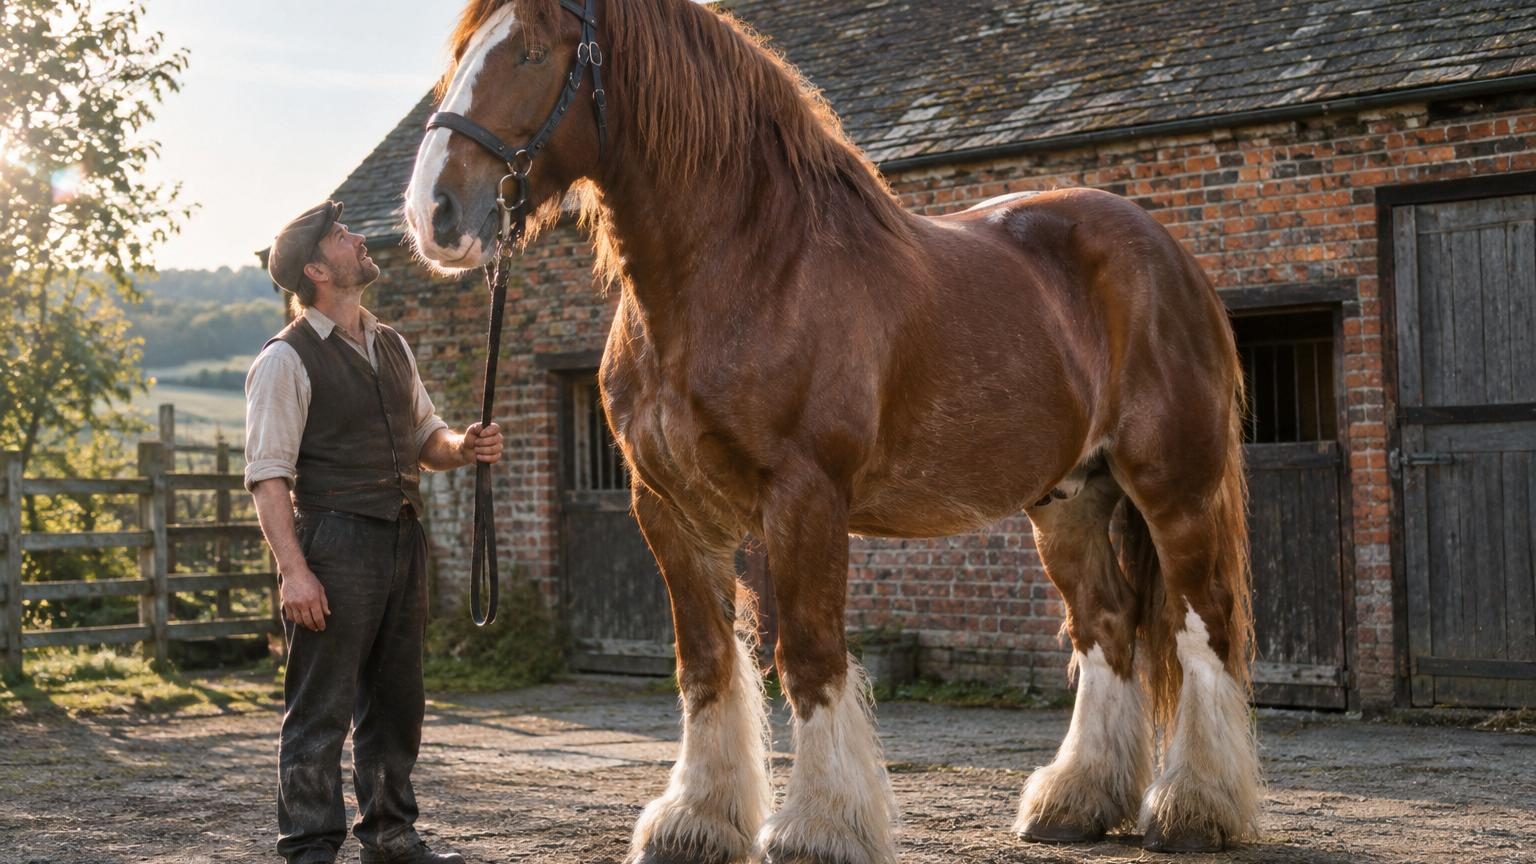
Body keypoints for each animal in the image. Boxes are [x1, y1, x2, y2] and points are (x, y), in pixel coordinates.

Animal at [403, 0, 1261, 861]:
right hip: (1069, 498)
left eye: (532, 52)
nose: (432, 212)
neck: (746, 273)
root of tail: (1169, 256)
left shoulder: (805, 497)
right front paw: (696, 820)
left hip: (1174, 486)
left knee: (1203, 624)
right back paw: (1074, 800)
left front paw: (821, 827)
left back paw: (1195, 808)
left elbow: (809, 656)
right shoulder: (667, 508)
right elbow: (705, 661)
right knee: (1105, 625)